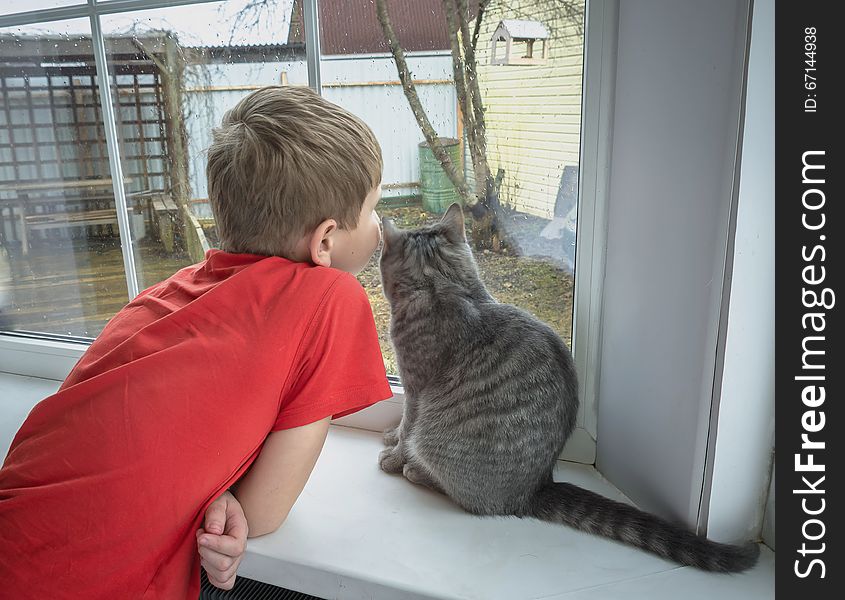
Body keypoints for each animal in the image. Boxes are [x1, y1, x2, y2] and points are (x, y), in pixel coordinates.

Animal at [376, 205, 760, 572]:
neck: (441, 284)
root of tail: (535, 488)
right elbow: (401, 428)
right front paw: (391, 438)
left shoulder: (415, 388)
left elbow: (407, 429)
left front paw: (394, 455)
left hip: (435, 441)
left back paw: (418, 472)